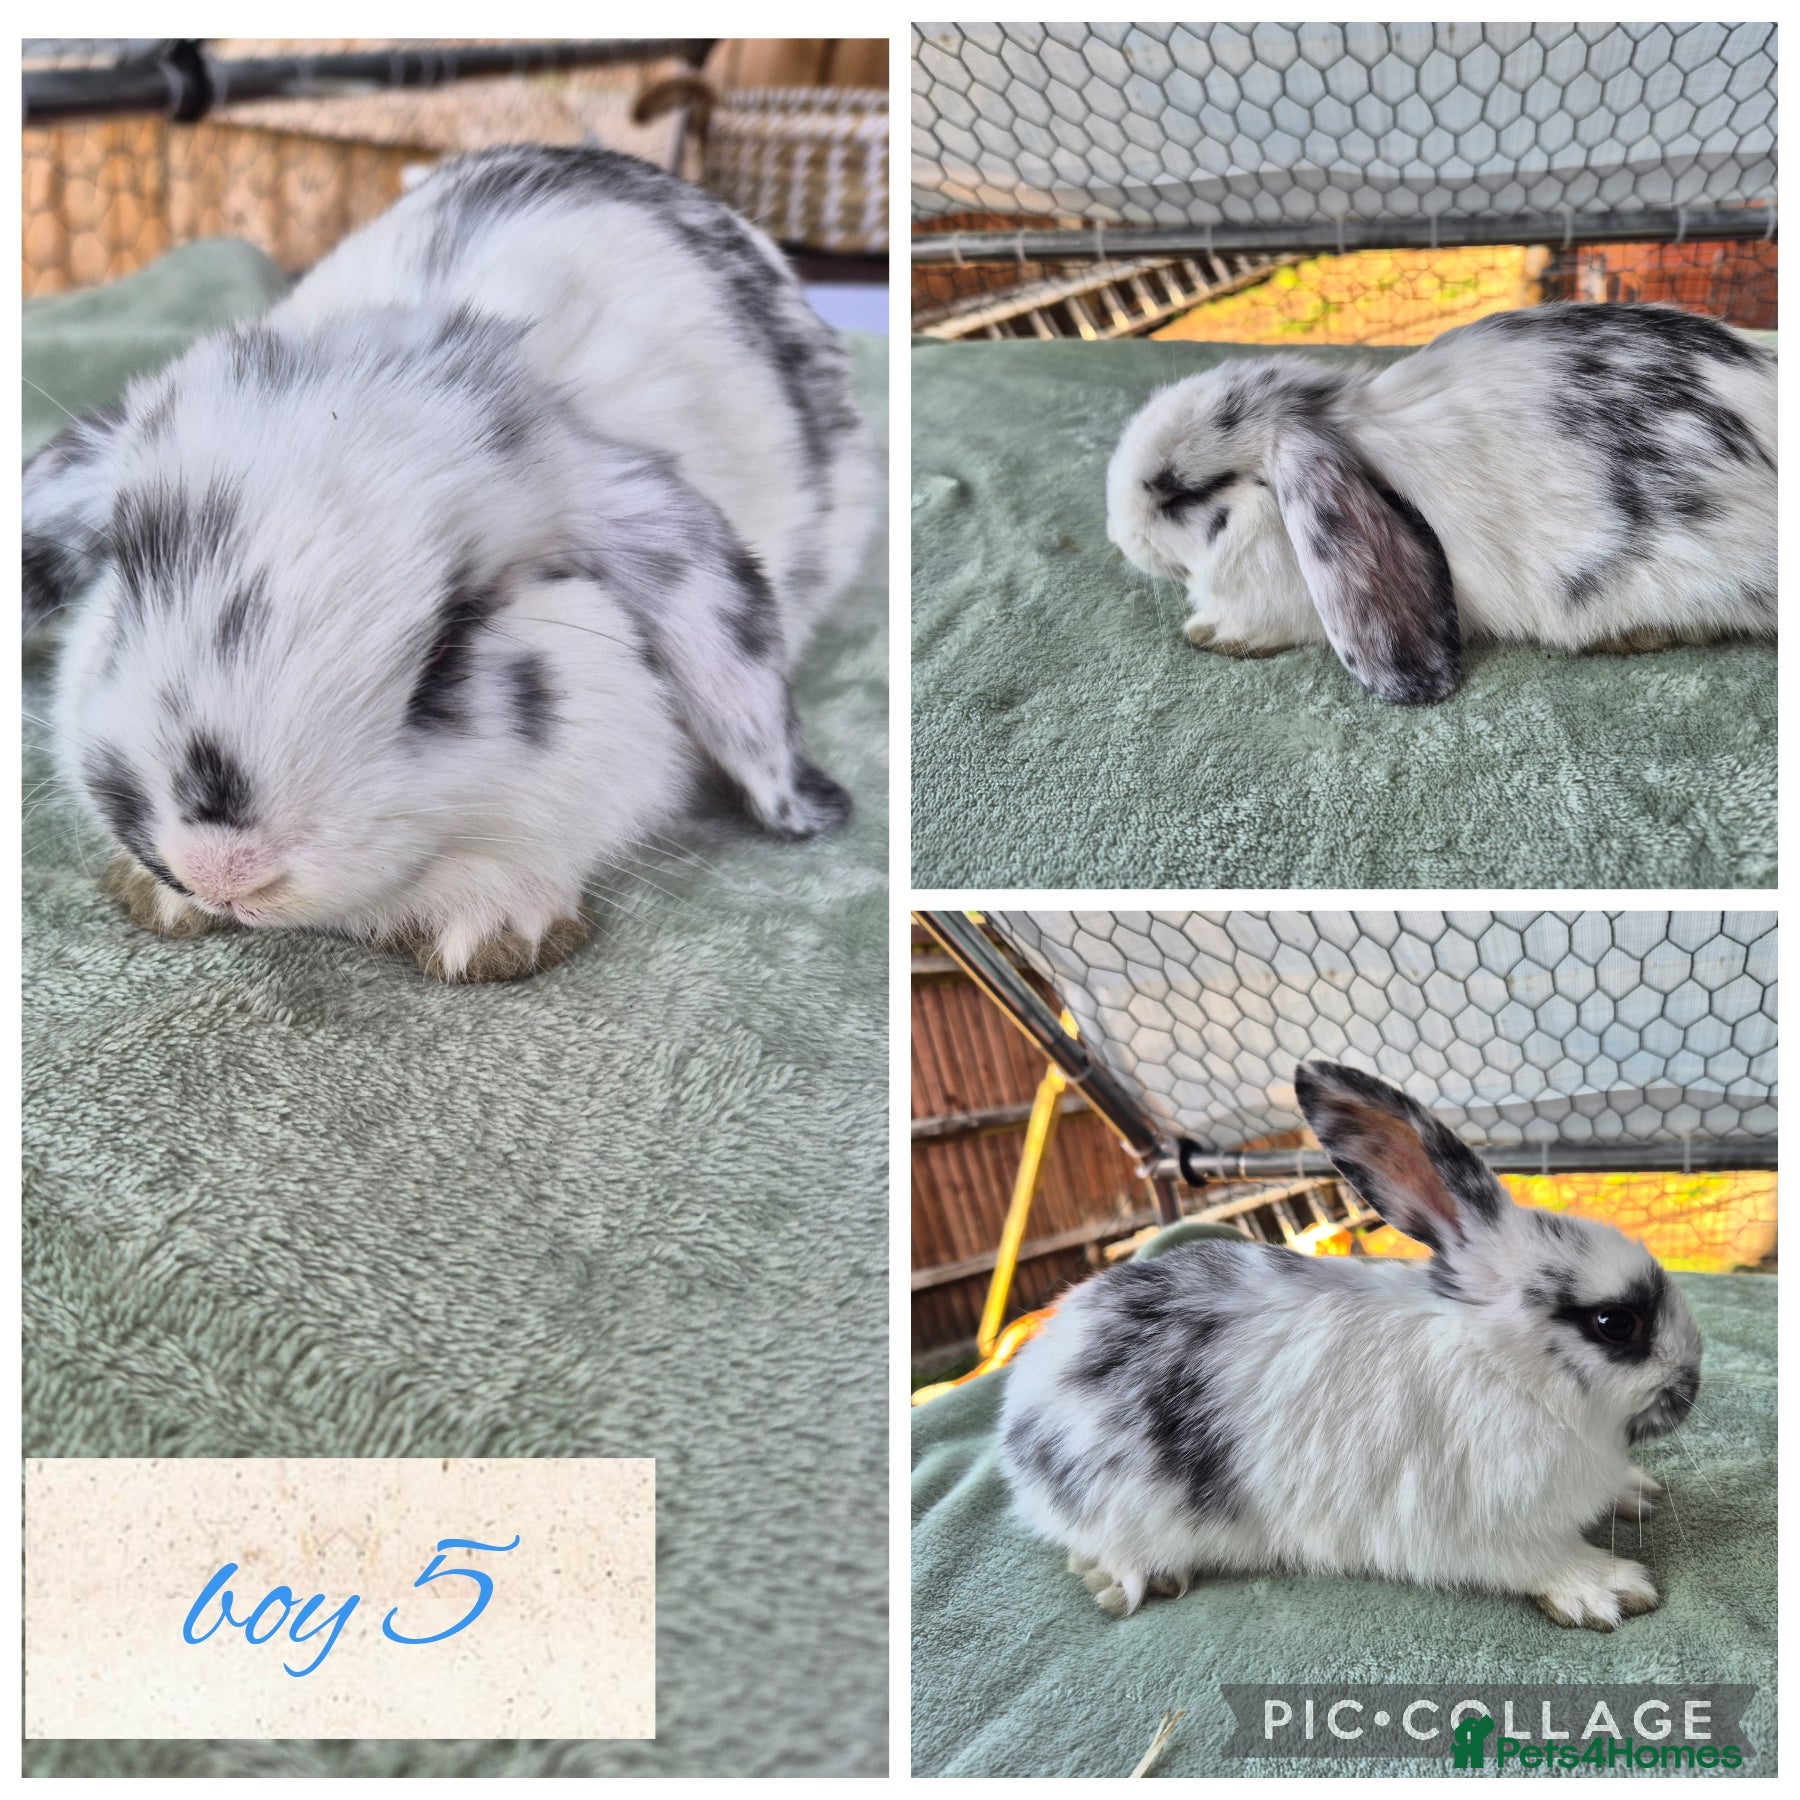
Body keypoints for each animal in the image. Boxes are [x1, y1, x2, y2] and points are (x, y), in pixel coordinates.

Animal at [999, 1059, 1703, 1631]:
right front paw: (1608, 1588)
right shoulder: (1469, 1525)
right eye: (1615, 1323)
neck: (1506, 1367)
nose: (1691, 1386)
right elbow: (1540, 1558)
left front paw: (1636, 1493)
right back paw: (1130, 1580)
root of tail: (1020, 1403)